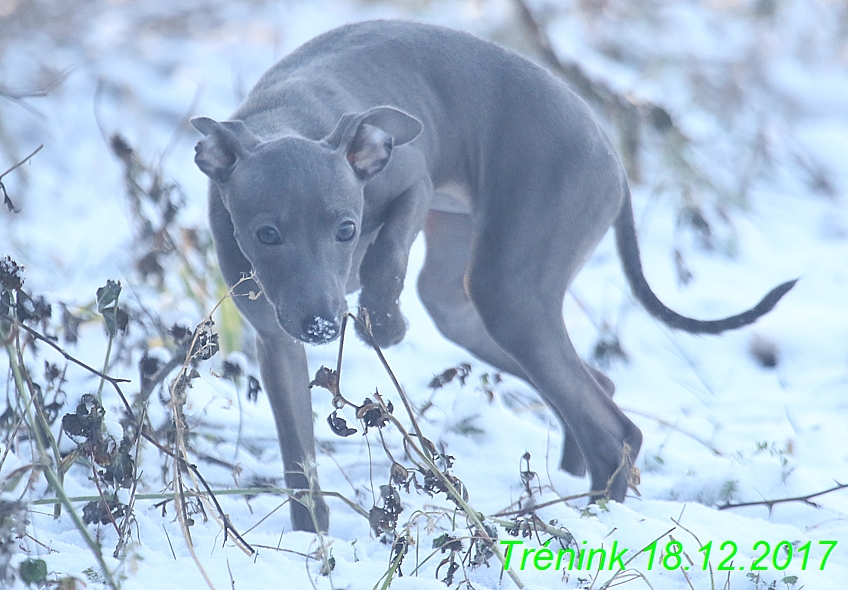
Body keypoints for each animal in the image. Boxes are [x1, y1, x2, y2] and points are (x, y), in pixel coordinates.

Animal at [192, 20, 796, 536]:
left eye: (347, 228)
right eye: (266, 234)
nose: (320, 326)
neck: (285, 120)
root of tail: (613, 158)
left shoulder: (412, 181)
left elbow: (385, 254)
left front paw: (383, 323)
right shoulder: (275, 341)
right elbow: (299, 462)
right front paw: (314, 545)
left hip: (508, 288)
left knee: (613, 431)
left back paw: (595, 523)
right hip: (467, 303)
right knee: (597, 389)